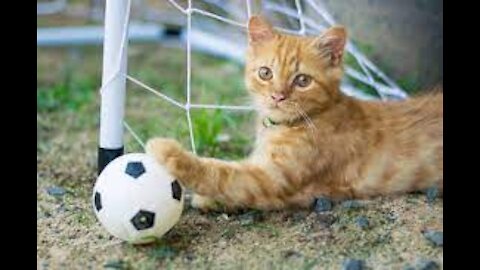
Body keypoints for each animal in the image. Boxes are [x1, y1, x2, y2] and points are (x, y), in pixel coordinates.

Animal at [145, 15, 442, 212]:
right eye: (266, 73)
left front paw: (170, 153)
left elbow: (223, 174)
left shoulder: (272, 181)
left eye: (302, 80)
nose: (277, 96)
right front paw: (210, 200)